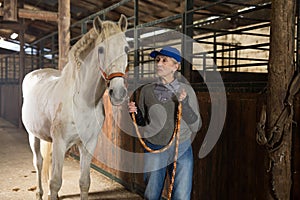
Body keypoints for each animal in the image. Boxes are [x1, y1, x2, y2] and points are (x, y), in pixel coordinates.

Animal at [21, 14, 129, 199]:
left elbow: (84, 183)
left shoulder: (88, 144)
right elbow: (55, 182)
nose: (118, 93)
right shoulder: (60, 142)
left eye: (126, 48)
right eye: (101, 49)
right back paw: (40, 193)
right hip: (32, 135)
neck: (82, 102)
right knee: (39, 163)